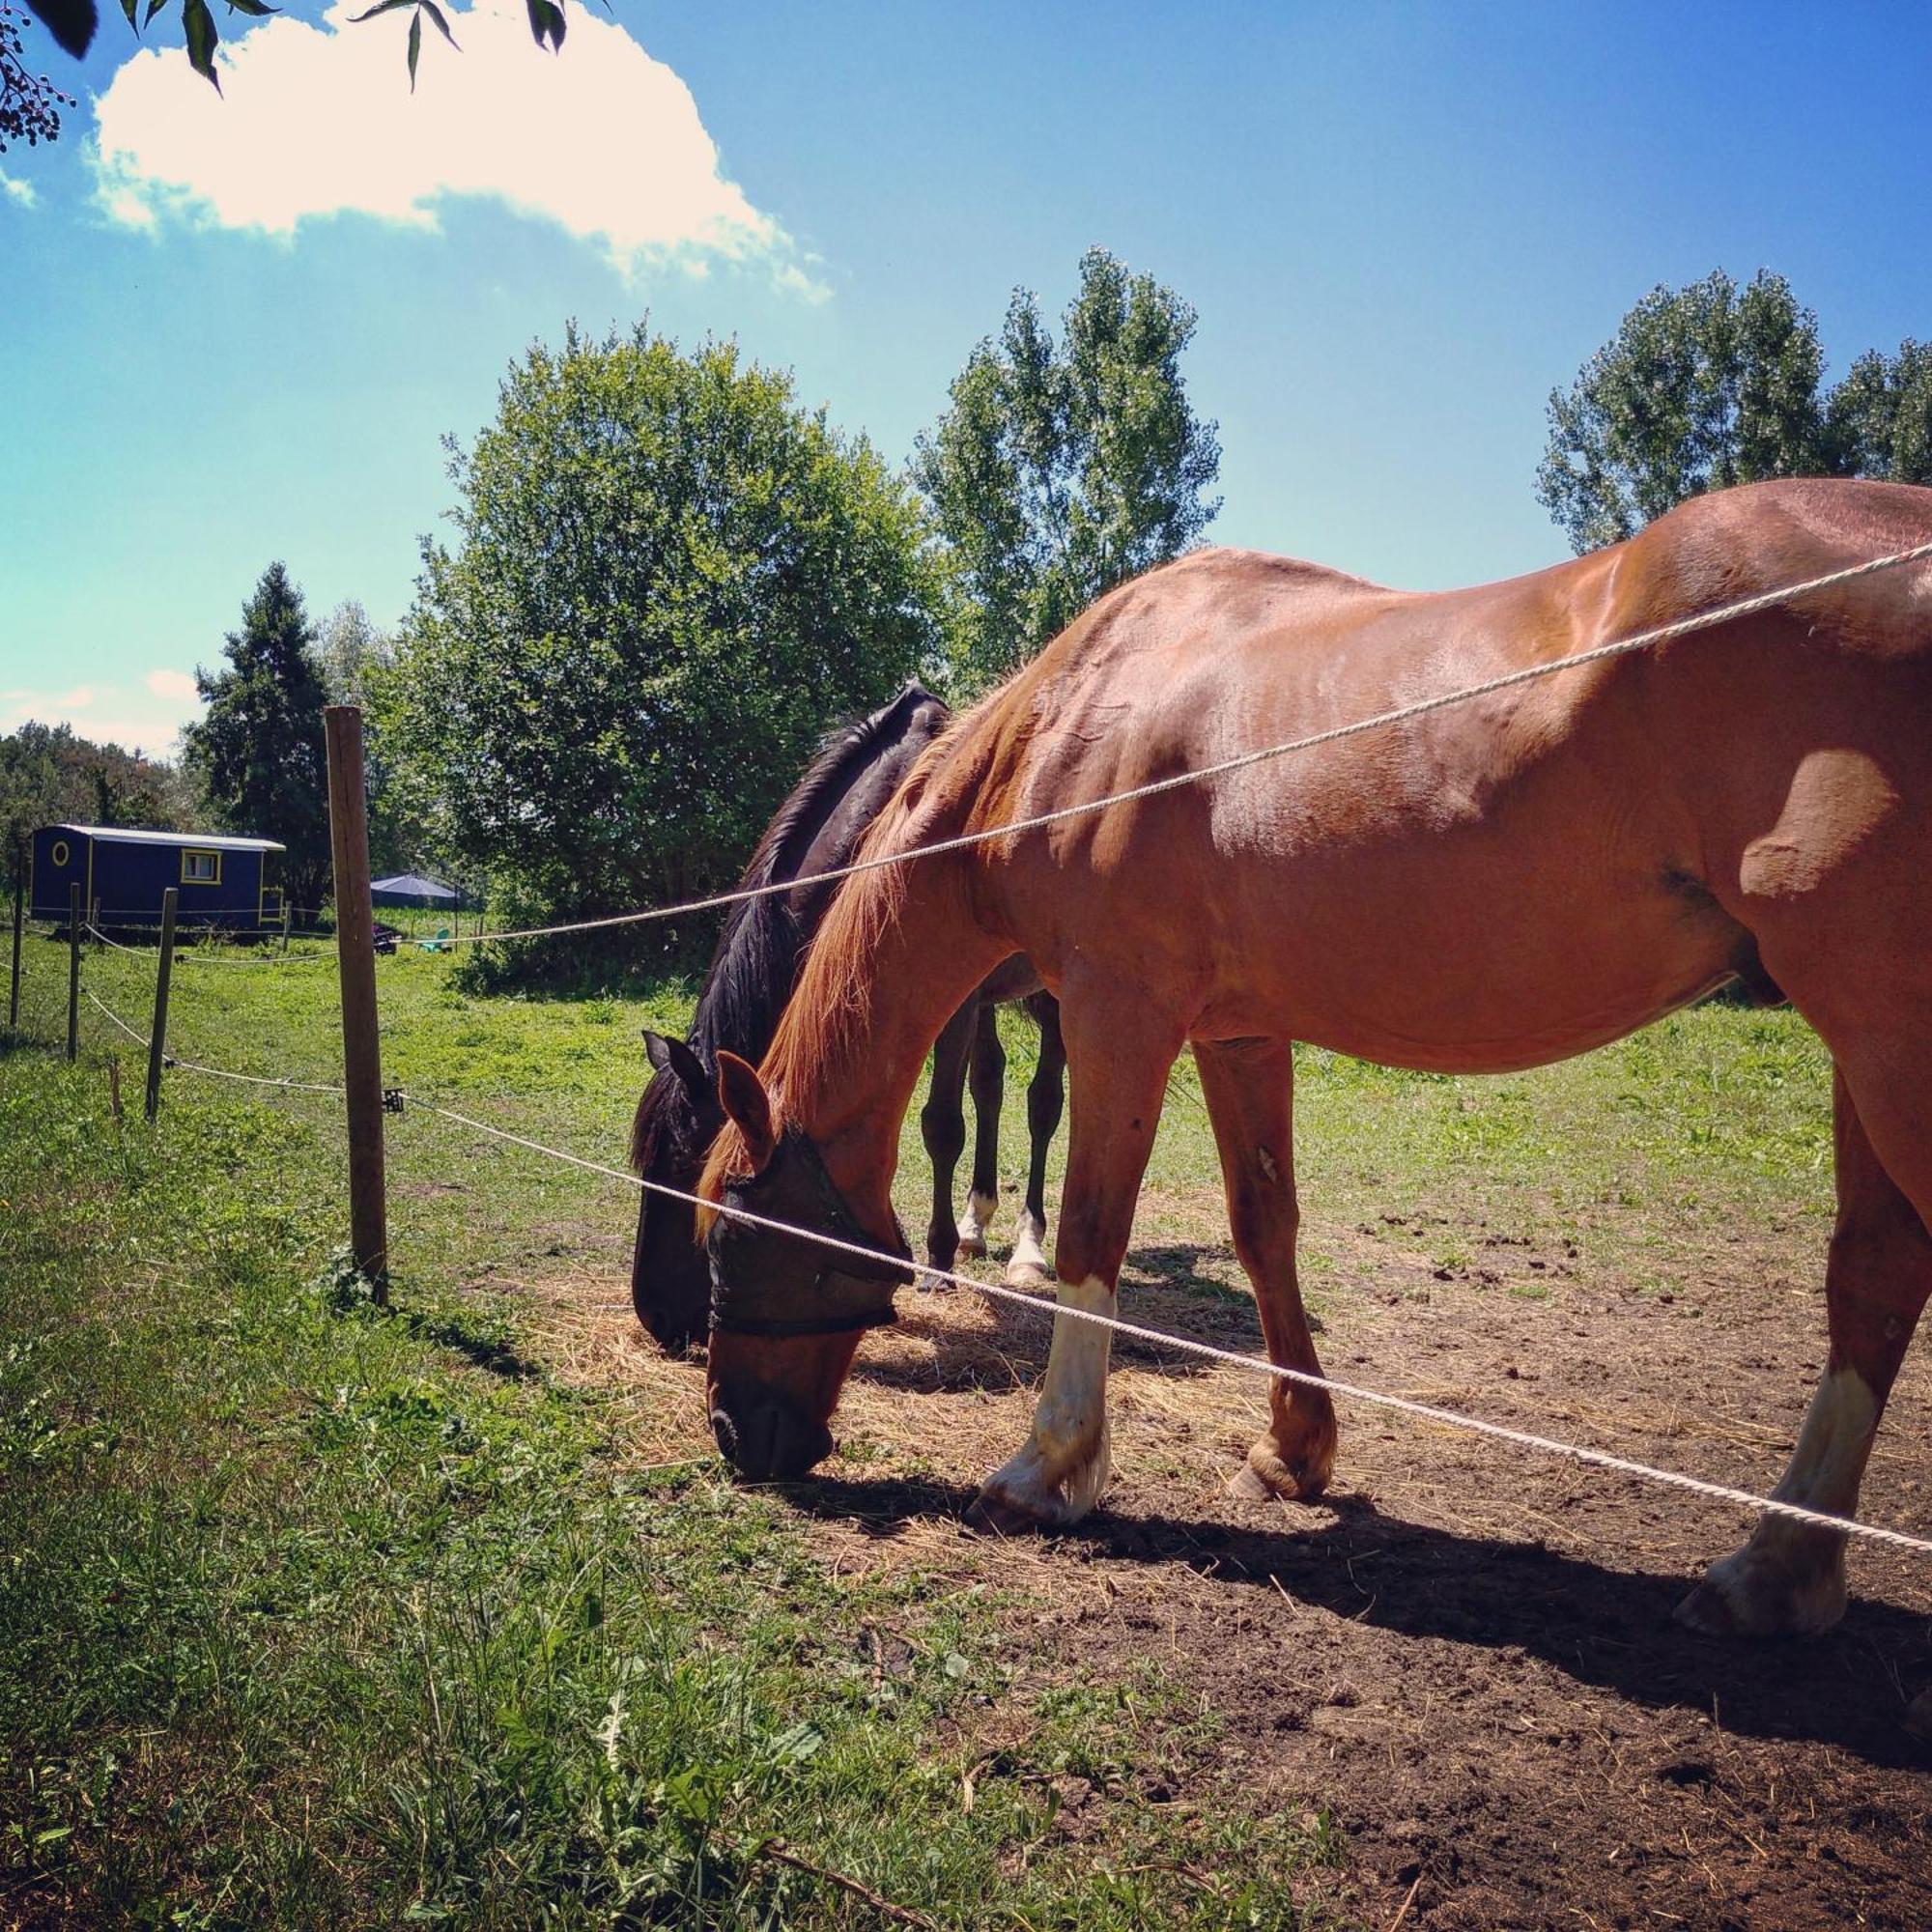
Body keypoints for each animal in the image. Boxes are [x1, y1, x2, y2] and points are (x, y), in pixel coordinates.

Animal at [626, 688, 1066, 1352]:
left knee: (1044, 1103)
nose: (657, 1318)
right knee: (989, 1083)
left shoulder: (950, 1006)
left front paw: (934, 1265)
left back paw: (1029, 1248)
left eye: (685, 1165)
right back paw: (975, 1225)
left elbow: (940, 1125)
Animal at [696, 483, 1932, 1677]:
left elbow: (1093, 1232)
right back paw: (1777, 1566)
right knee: (1872, 1278)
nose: (735, 1434)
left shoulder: (1113, 1013)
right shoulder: (1236, 1035)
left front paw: (1049, 1466)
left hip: (1882, 1043)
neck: (1082, 718)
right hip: (1861, 1047)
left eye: (726, 1236)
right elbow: (1263, 1223)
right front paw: (1293, 1447)